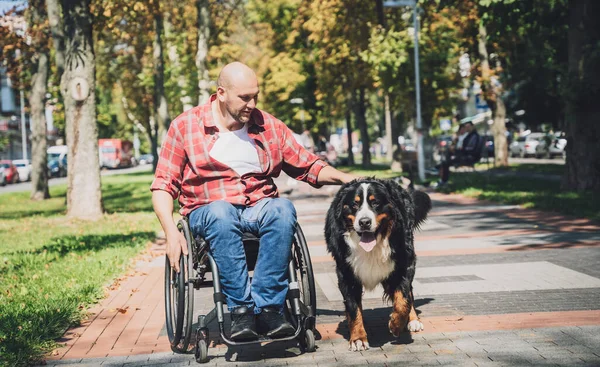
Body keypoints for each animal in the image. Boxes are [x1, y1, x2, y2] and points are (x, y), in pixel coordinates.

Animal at [326, 180, 428, 352]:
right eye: (354, 204)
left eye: (375, 203)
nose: (364, 222)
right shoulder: (346, 274)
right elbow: (353, 309)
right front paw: (358, 338)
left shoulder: (403, 265)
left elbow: (403, 300)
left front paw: (396, 323)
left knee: (409, 294)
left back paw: (413, 320)